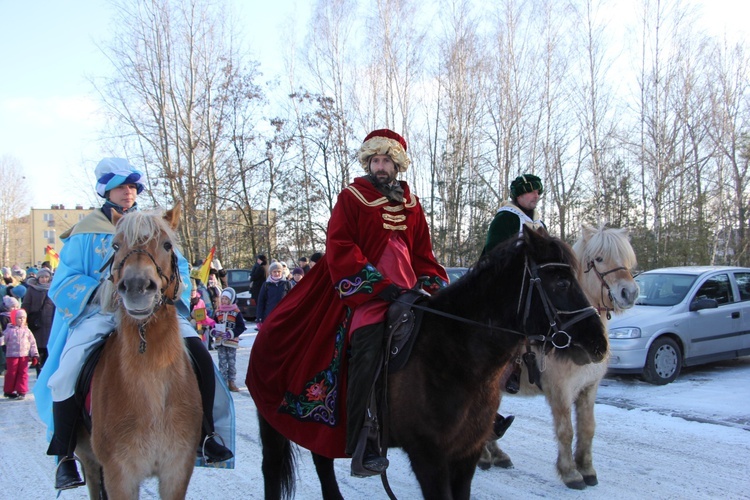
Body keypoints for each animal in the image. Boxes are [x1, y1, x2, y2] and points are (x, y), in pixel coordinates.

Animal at [75, 204, 203, 500]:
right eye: (115, 245)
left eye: (167, 245)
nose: (136, 287)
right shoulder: (120, 475)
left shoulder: (177, 470)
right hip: (88, 456)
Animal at [258, 229, 612, 498]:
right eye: (561, 283)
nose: (599, 344)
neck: (455, 355)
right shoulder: (428, 456)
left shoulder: (466, 454)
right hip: (273, 424)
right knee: (273, 470)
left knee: (322, 464)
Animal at [482, 225, 640, 490]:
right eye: (599, 258)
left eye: (626, 258)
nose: (630, 292)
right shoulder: (560, 389)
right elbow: (566, 431)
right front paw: (570, 473)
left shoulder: (589, 387)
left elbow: (587, 428)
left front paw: (587, 469)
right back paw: (484, 456)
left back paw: (496, 454)